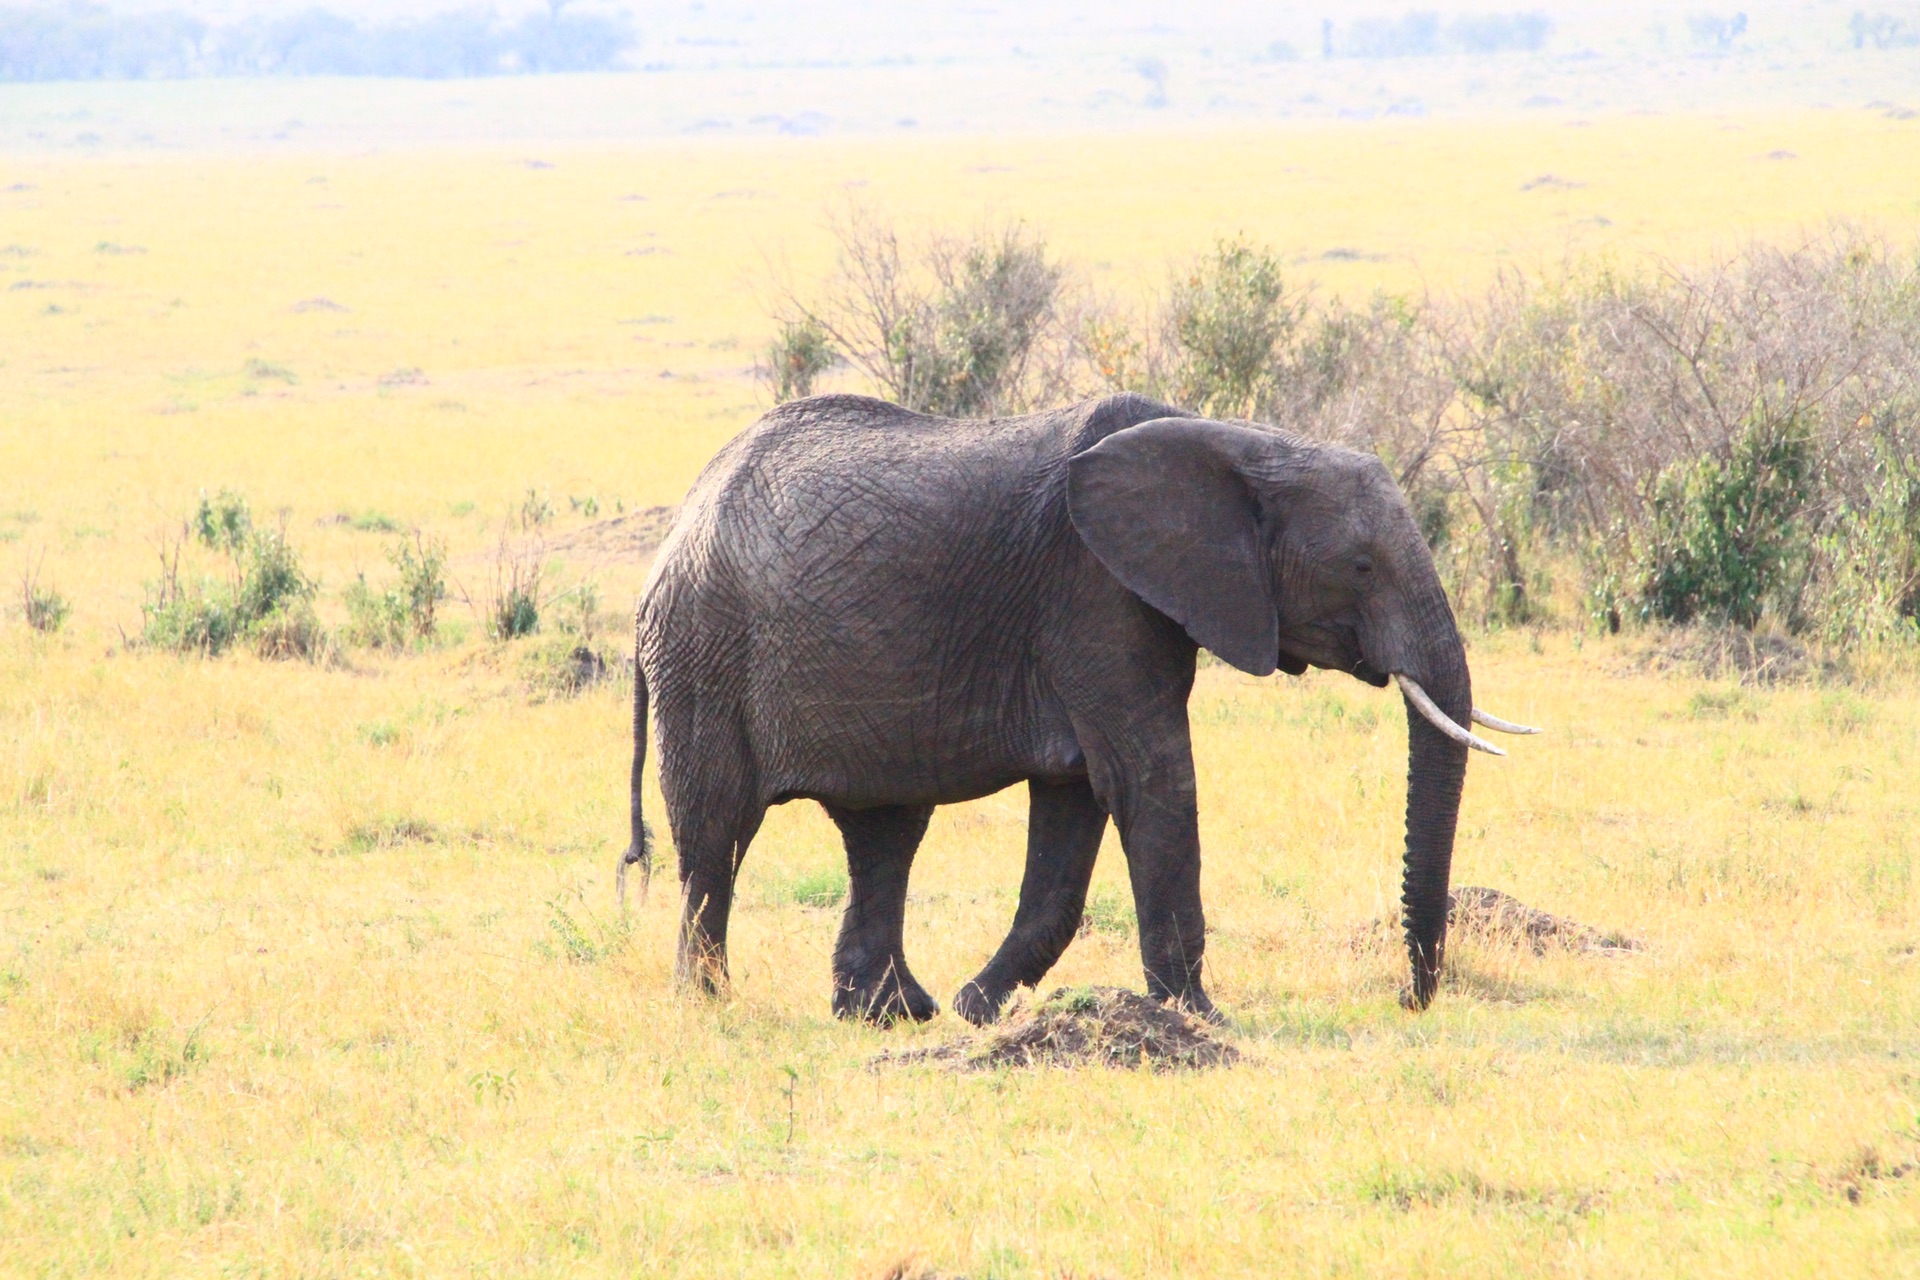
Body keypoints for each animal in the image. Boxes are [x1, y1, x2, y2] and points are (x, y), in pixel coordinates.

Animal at [622, 395, 1536, 1028]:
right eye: (1361, 567)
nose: (1410, 1000)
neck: (1236, 440)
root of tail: (679, 524)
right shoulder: (1097, 597)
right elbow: (1151, 781)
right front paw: (1202, 1021)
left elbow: (1076, 806)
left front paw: (977, 1010)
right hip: (703, 650)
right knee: (715, 834)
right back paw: (708, 1005)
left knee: (884, 834)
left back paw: (894, 1014)